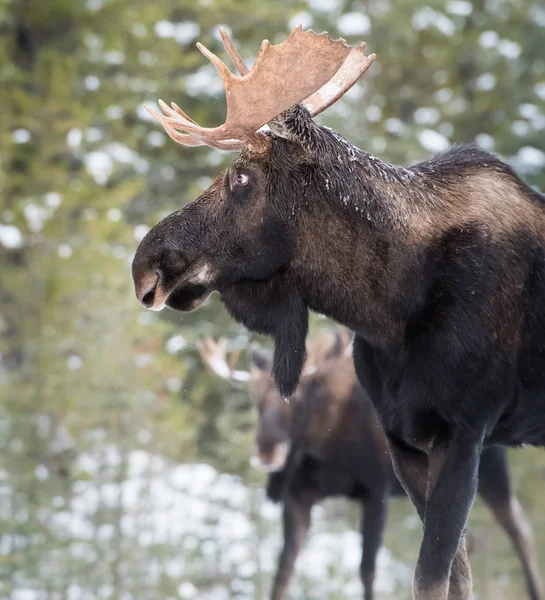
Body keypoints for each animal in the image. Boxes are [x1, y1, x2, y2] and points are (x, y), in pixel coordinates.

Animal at [196, 332, 540, 600]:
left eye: (299, 396)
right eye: (255, 398)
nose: (267, 452)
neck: (326, 448)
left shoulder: (377, 492)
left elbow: (367, 570)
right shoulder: (299, 496)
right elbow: (283, 569)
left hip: (490, 471)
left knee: (519, 529)